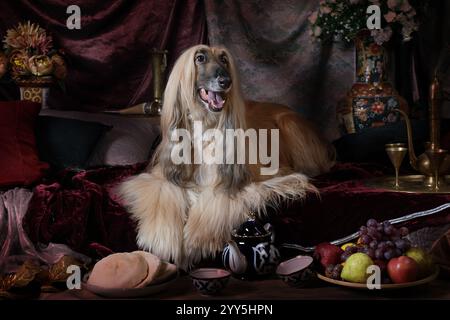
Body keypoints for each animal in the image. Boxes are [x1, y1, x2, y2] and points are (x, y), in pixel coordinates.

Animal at [119, 44, 334, 268]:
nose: (225, 82)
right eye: (200, 58)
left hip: (289, 124)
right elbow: (165, 191)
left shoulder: (254, 181)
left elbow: (216, 198)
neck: (206, 125)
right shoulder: (161, 177)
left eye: (224, 59)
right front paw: (162, 239)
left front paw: (196, 238)